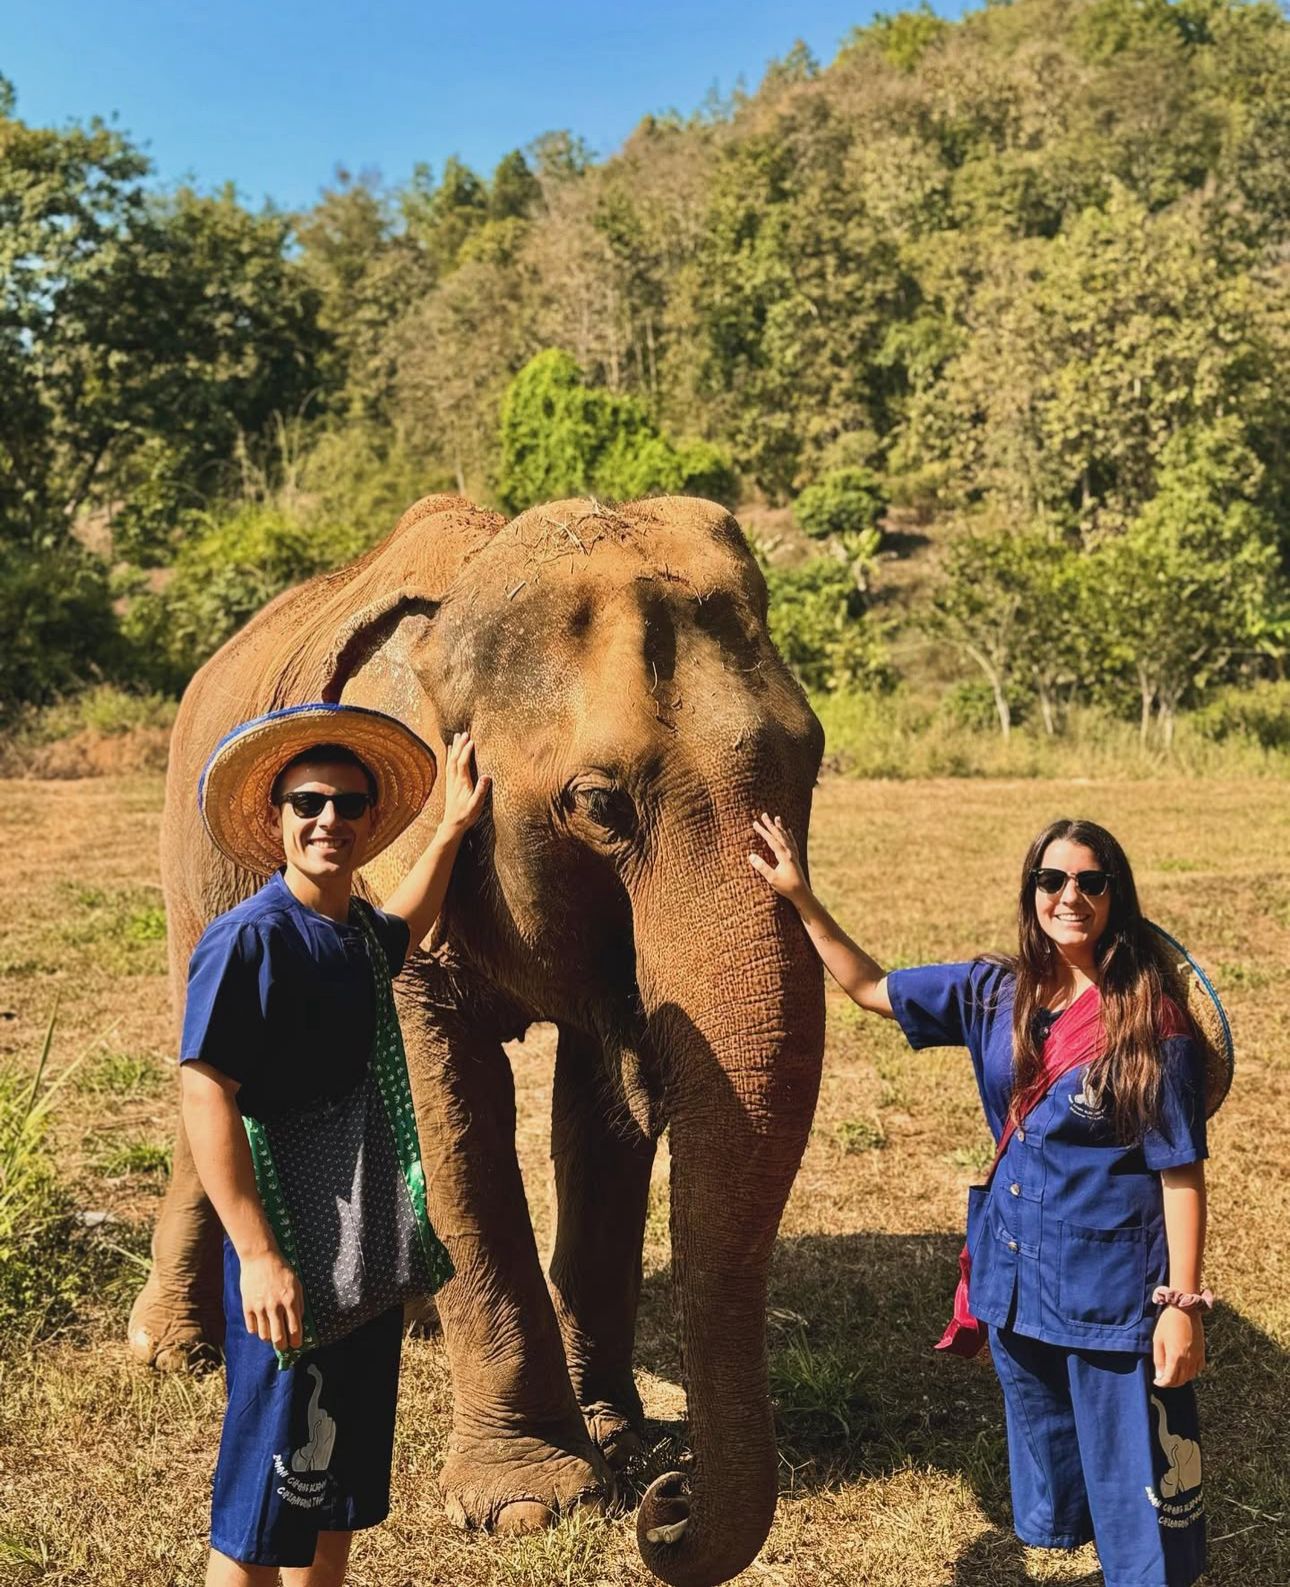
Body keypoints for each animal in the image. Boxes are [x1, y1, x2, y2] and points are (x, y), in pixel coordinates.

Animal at [127, 493, 827, 1587]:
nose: (671, 1495)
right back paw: (170, 1353)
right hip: (187, 860)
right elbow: (452, 1115)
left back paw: (404, 1318)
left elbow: (595, 1124)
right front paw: (533, 1505)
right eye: (599, 804)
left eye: (816, 764)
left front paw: (617, 1436)